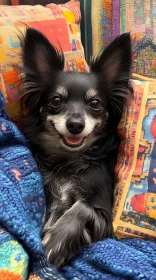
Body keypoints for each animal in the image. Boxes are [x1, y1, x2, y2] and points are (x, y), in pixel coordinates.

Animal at [18, 27, 132, 266]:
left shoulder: (104, 218)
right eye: (56, 100)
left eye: (95, 103)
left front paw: (55, 242)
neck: (69, 160)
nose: (76, 125)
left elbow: (80, 207)